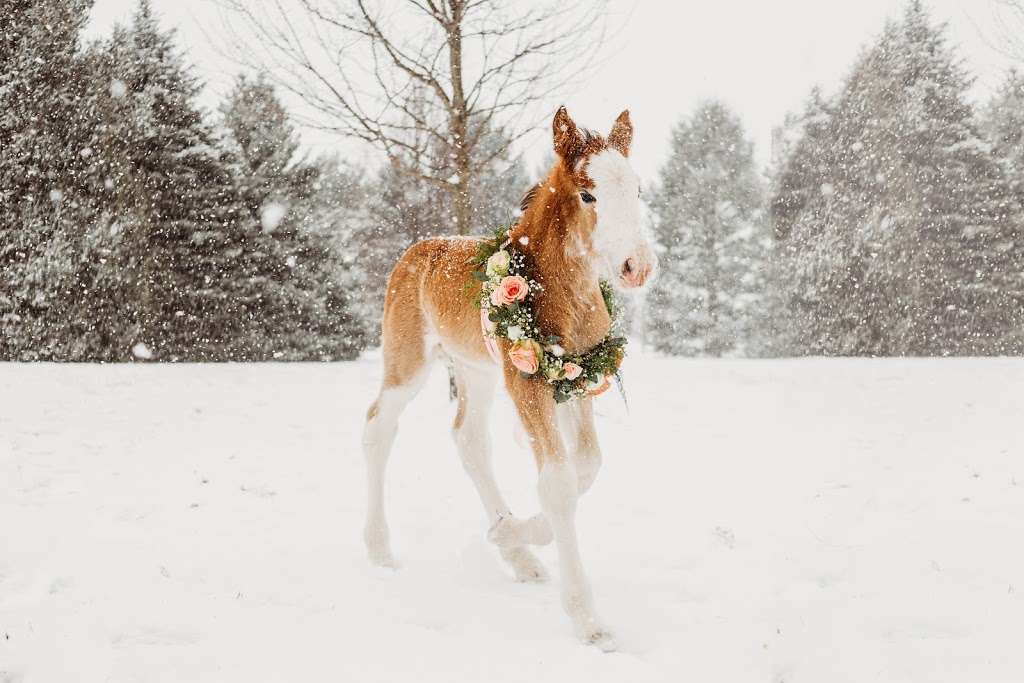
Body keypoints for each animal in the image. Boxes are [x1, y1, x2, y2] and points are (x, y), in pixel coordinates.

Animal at [364, 108, 651, 651]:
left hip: (474, 371)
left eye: (638, 189)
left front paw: (516, 533)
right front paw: (588, 620)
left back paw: (516, 552)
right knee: (378, 425)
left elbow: (587, 465)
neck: (559, 290)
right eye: (589, 195)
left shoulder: (578, 376)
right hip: (408, 362)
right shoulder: (527, 380)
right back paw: (379, 549)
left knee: (469, 439)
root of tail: (417, 250)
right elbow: (558, 482)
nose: (637, 267)